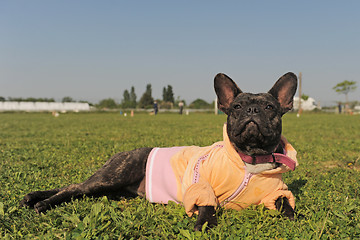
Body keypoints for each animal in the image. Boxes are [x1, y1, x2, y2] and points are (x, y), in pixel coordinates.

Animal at [21, 72, 300, 230]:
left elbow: (286, 203)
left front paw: (292, 218)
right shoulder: (201, 185)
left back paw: (32, 198)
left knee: (76, 188)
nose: (252, 111)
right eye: (237, 107)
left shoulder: (276, 192)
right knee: (74, 188)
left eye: (269, 107)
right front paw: (205, 224)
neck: (249, 158)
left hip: (111, 186)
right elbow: (206, 204)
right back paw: (41, 202)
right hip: (113, 175)